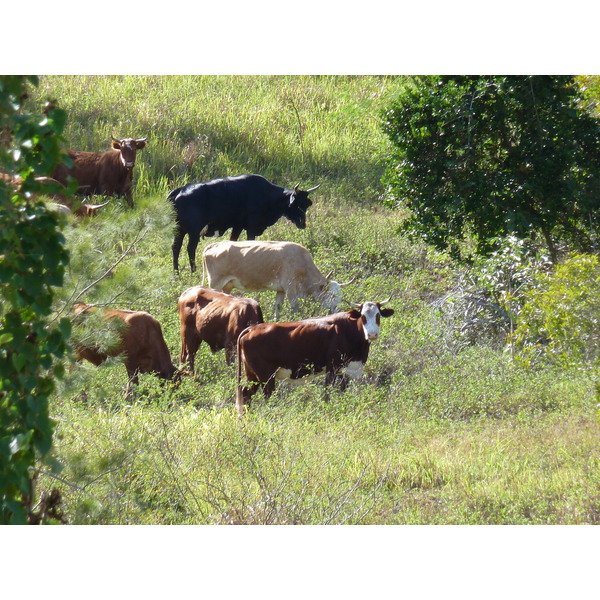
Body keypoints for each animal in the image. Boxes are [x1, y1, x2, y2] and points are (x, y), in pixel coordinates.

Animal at [166, 173, 322, 272]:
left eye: (306, 205)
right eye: (296, 204)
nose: (303, 223)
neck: (268, 195)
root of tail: (180, 190)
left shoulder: (237, 226)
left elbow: (232, 242)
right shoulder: (251, 227)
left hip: (180, 230)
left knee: (176, 247)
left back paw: (176, 273)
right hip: (193, 232)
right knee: (190, 248)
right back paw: (193, 271)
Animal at [202, 241, 354, 322]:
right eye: (332, 295)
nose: (337, 310)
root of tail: (214, 244)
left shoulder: (280, 290)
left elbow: (278, 308)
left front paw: (276, 322)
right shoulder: (290, 288)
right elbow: (295, 307)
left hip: (227, 286)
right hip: (215, 283)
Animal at [234, 298, 394, 412]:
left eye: (378, 315)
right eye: (363, 316)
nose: (372, 334)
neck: (349, 330)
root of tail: (252, 328)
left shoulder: (347, 371)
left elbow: (342, 393)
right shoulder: (332, 368)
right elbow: (327, 393)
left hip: (252, 374)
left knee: (246, 395)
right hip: (266, 375)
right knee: (268, 395)